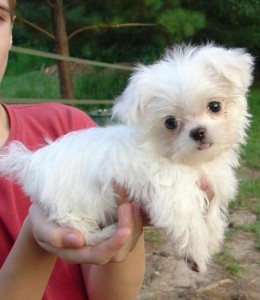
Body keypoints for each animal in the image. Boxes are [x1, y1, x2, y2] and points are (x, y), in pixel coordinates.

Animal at [0, 44, 253, 272]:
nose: (198, 132)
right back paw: (105, 233)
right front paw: (197, 255)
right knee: (79, 231)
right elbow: (190, 225)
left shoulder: (211, 188)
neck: (185, 160)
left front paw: (213, 238)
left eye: (215, 106)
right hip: (70, 203)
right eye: (170, 123)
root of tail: (31, 161)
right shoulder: (174, 196)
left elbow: (211, 215)